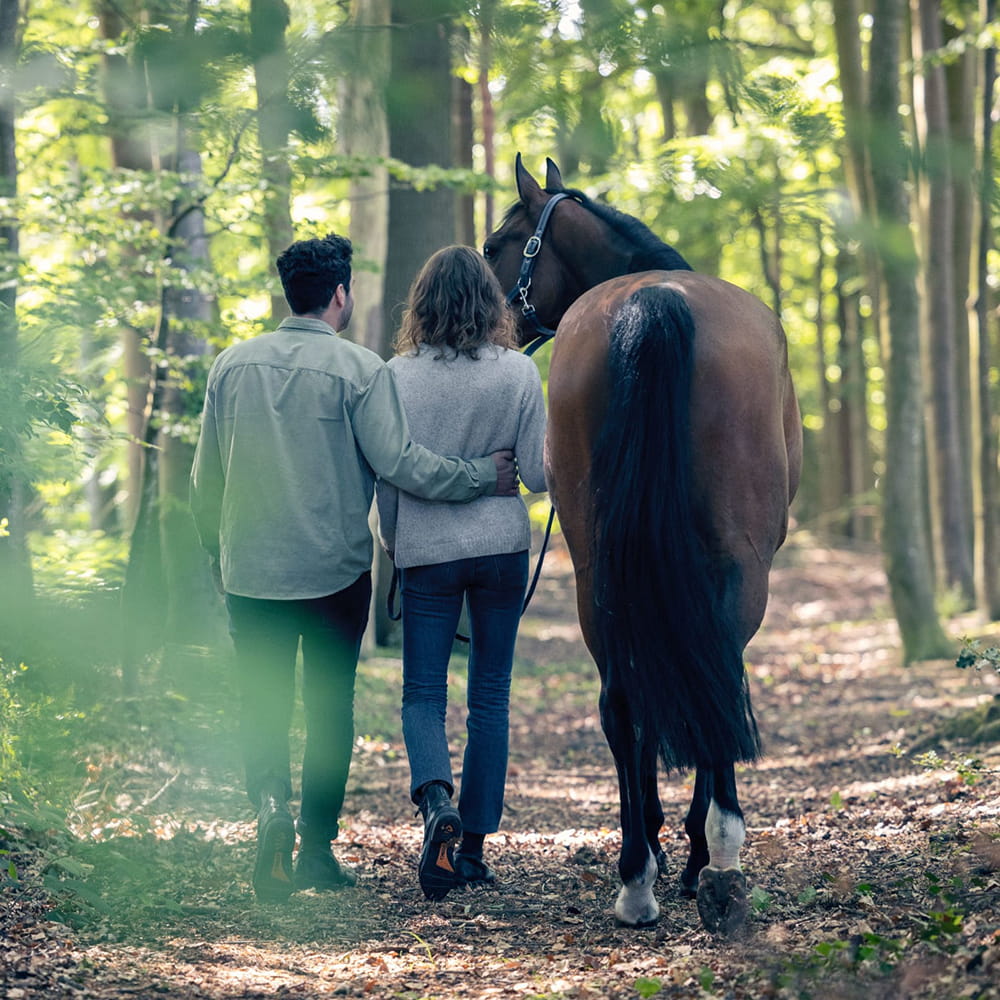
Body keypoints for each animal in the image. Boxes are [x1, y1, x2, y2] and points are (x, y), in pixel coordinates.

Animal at [484, 155, 802, 935]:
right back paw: (710, 859)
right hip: (734, 569)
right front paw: (690, 850)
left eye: (494, 246)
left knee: (623, 697)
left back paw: (639, 876)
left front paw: (661, 847)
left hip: (599, 568)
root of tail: (654, 302)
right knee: (714, 681)